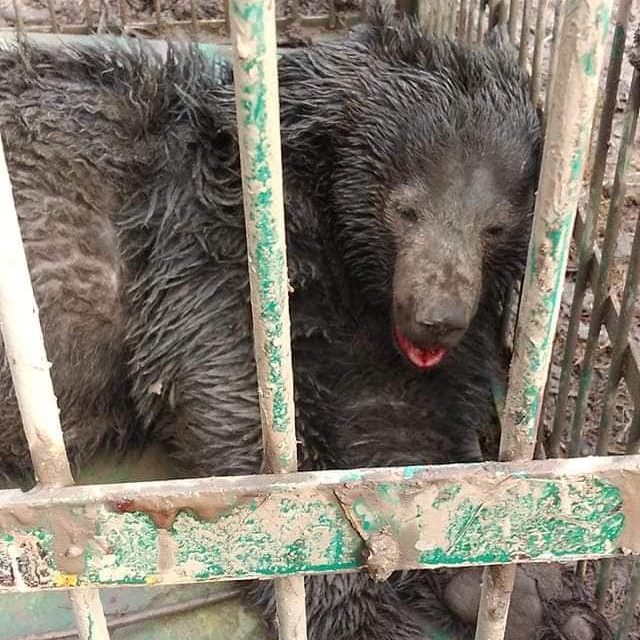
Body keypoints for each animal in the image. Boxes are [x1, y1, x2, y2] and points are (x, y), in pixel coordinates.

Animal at [0, 4, 612, 639]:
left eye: (494, 225)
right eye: (405, 208)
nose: (436, 318)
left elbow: (397, 424)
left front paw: (519, 586)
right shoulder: (208, 240)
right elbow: (235, 396)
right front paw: (360, 610)